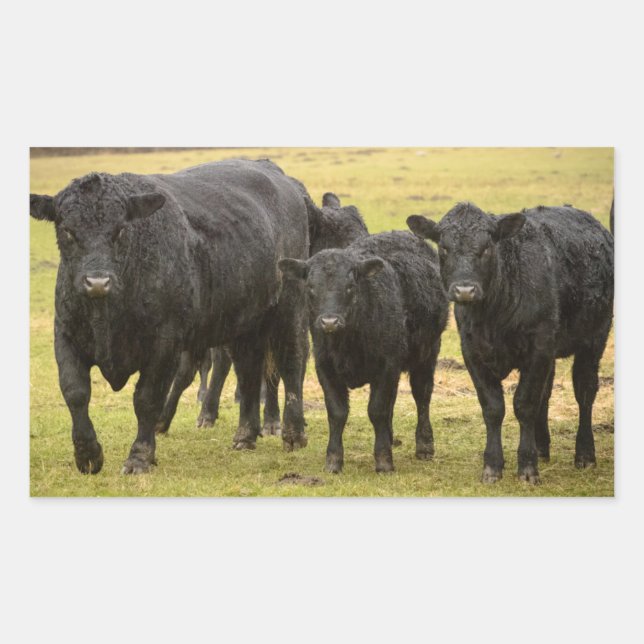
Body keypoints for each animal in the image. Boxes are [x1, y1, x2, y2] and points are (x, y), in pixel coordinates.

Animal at [30, 159, 310, 474]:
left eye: (120, 230)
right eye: (67, 230)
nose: (97, 282)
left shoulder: (164, 345)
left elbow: (147, 399)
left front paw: (139, 457)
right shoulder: (66, 335)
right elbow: (75, 392)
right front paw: (88, 454)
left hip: (288, 309)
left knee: (291, 362)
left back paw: (293, 432)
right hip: (245, 323)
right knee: (248, 370)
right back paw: (245, 435)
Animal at [279, 231, 448, 473]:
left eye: (350, 286)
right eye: (310, 287)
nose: (329, 322)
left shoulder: (387, 365)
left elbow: (377, 410)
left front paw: (384, 461)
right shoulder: (325, 367)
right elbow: (337, 412)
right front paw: (333, 461)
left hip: (427, 354)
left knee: (422, 395)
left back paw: (424, 445)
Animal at [407, 202, 614, 484]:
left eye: (486, 247)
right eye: (444, 248)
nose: (464, 290)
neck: (492, 315)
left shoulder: (538, 349)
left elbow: (524, 404)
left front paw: (527, 467)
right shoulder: (472, 352)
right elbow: (493, 407)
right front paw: (493, 466)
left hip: (594, 339)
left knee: (584, 391)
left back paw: (584, 454)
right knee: (546, 394)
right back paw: (542, 447)